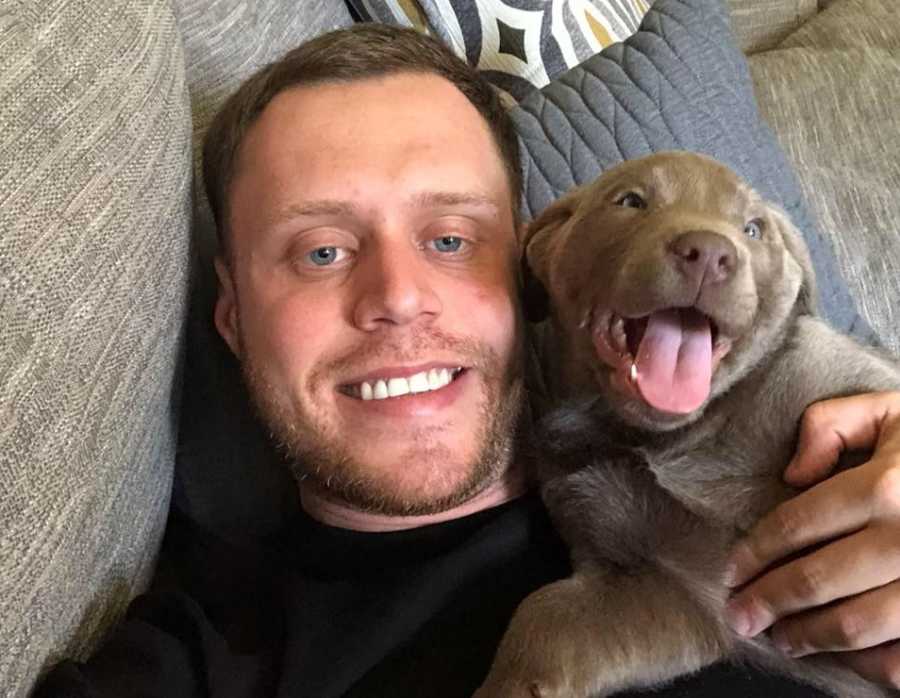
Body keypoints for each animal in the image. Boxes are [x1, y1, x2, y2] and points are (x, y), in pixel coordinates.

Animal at [474, 152, 900, 696]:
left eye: (754, 228)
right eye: (630, 201)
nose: (711, 253)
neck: (673, 438)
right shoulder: (658, 587)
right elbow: (544, 616)